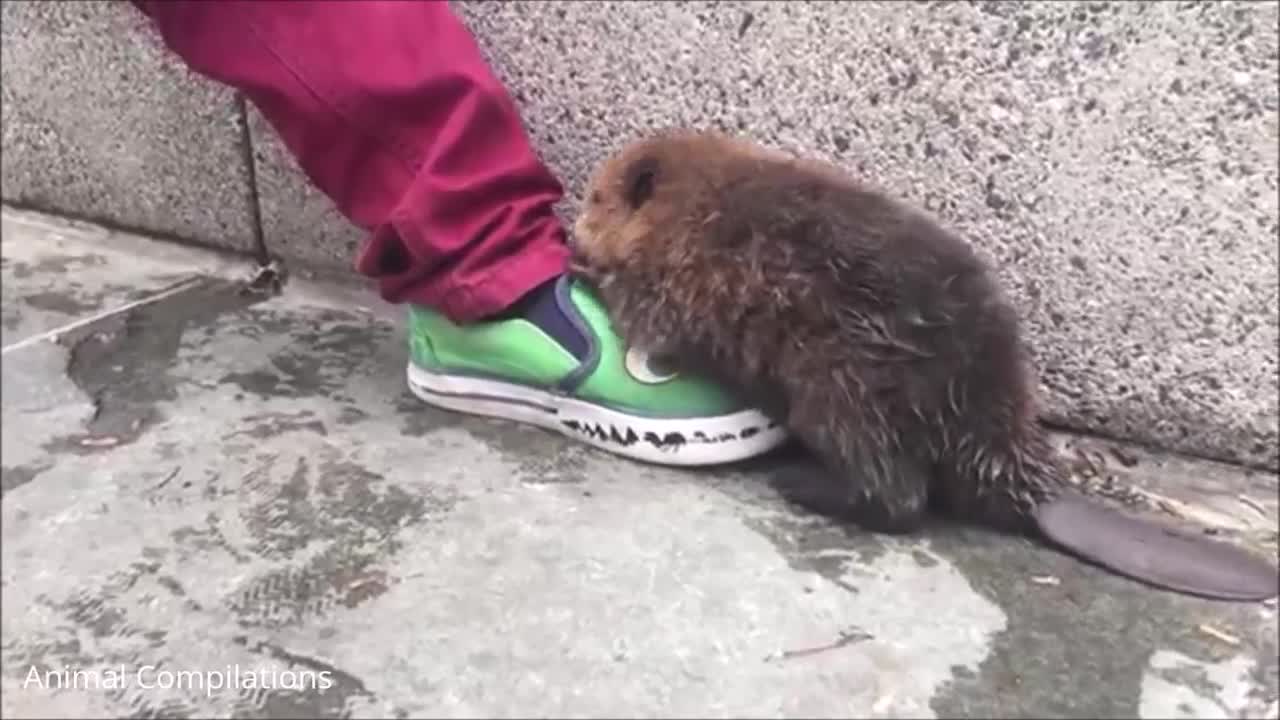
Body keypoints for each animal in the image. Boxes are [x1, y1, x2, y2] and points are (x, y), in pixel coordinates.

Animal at [573, 127, 1280, 599]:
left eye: (594, 199)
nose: (577, 226)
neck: (700, 202)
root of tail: (1029, 485)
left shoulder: (676, 282)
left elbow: (638, 314)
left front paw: (582, 265)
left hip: (843, 388)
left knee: (898, 497)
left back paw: (800, 483)